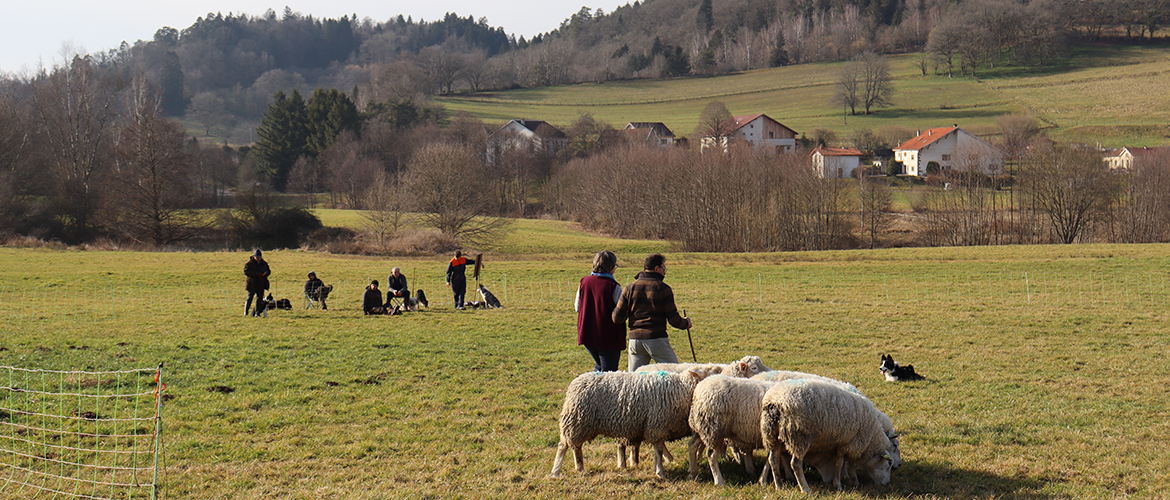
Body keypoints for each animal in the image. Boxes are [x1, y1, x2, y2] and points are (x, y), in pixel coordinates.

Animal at [549, 365, 720, 480]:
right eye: (713, 373)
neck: (682, 388)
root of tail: (576, 382)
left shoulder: (656, 427)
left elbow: (657, 450)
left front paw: (657, 468)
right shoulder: (656, 426)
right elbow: (658, 451)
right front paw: (661, 473)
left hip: (579, 424)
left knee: (576, 447)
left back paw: (580, 468)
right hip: (575, 421)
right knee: (563, 446)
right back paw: (556, 471)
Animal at [758, 379, 893, 494]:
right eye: (888, 465)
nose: (886, 484)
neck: (870, 437)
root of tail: (775, 402)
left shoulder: (848, 443)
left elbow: (849, 462)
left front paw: (854, 480)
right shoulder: (847, 443)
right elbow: (840, 463)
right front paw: (838, 485)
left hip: (771, 435)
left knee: (773, 459)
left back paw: (779, 486)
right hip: (799, 436)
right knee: (795, 464)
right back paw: (805, 489)